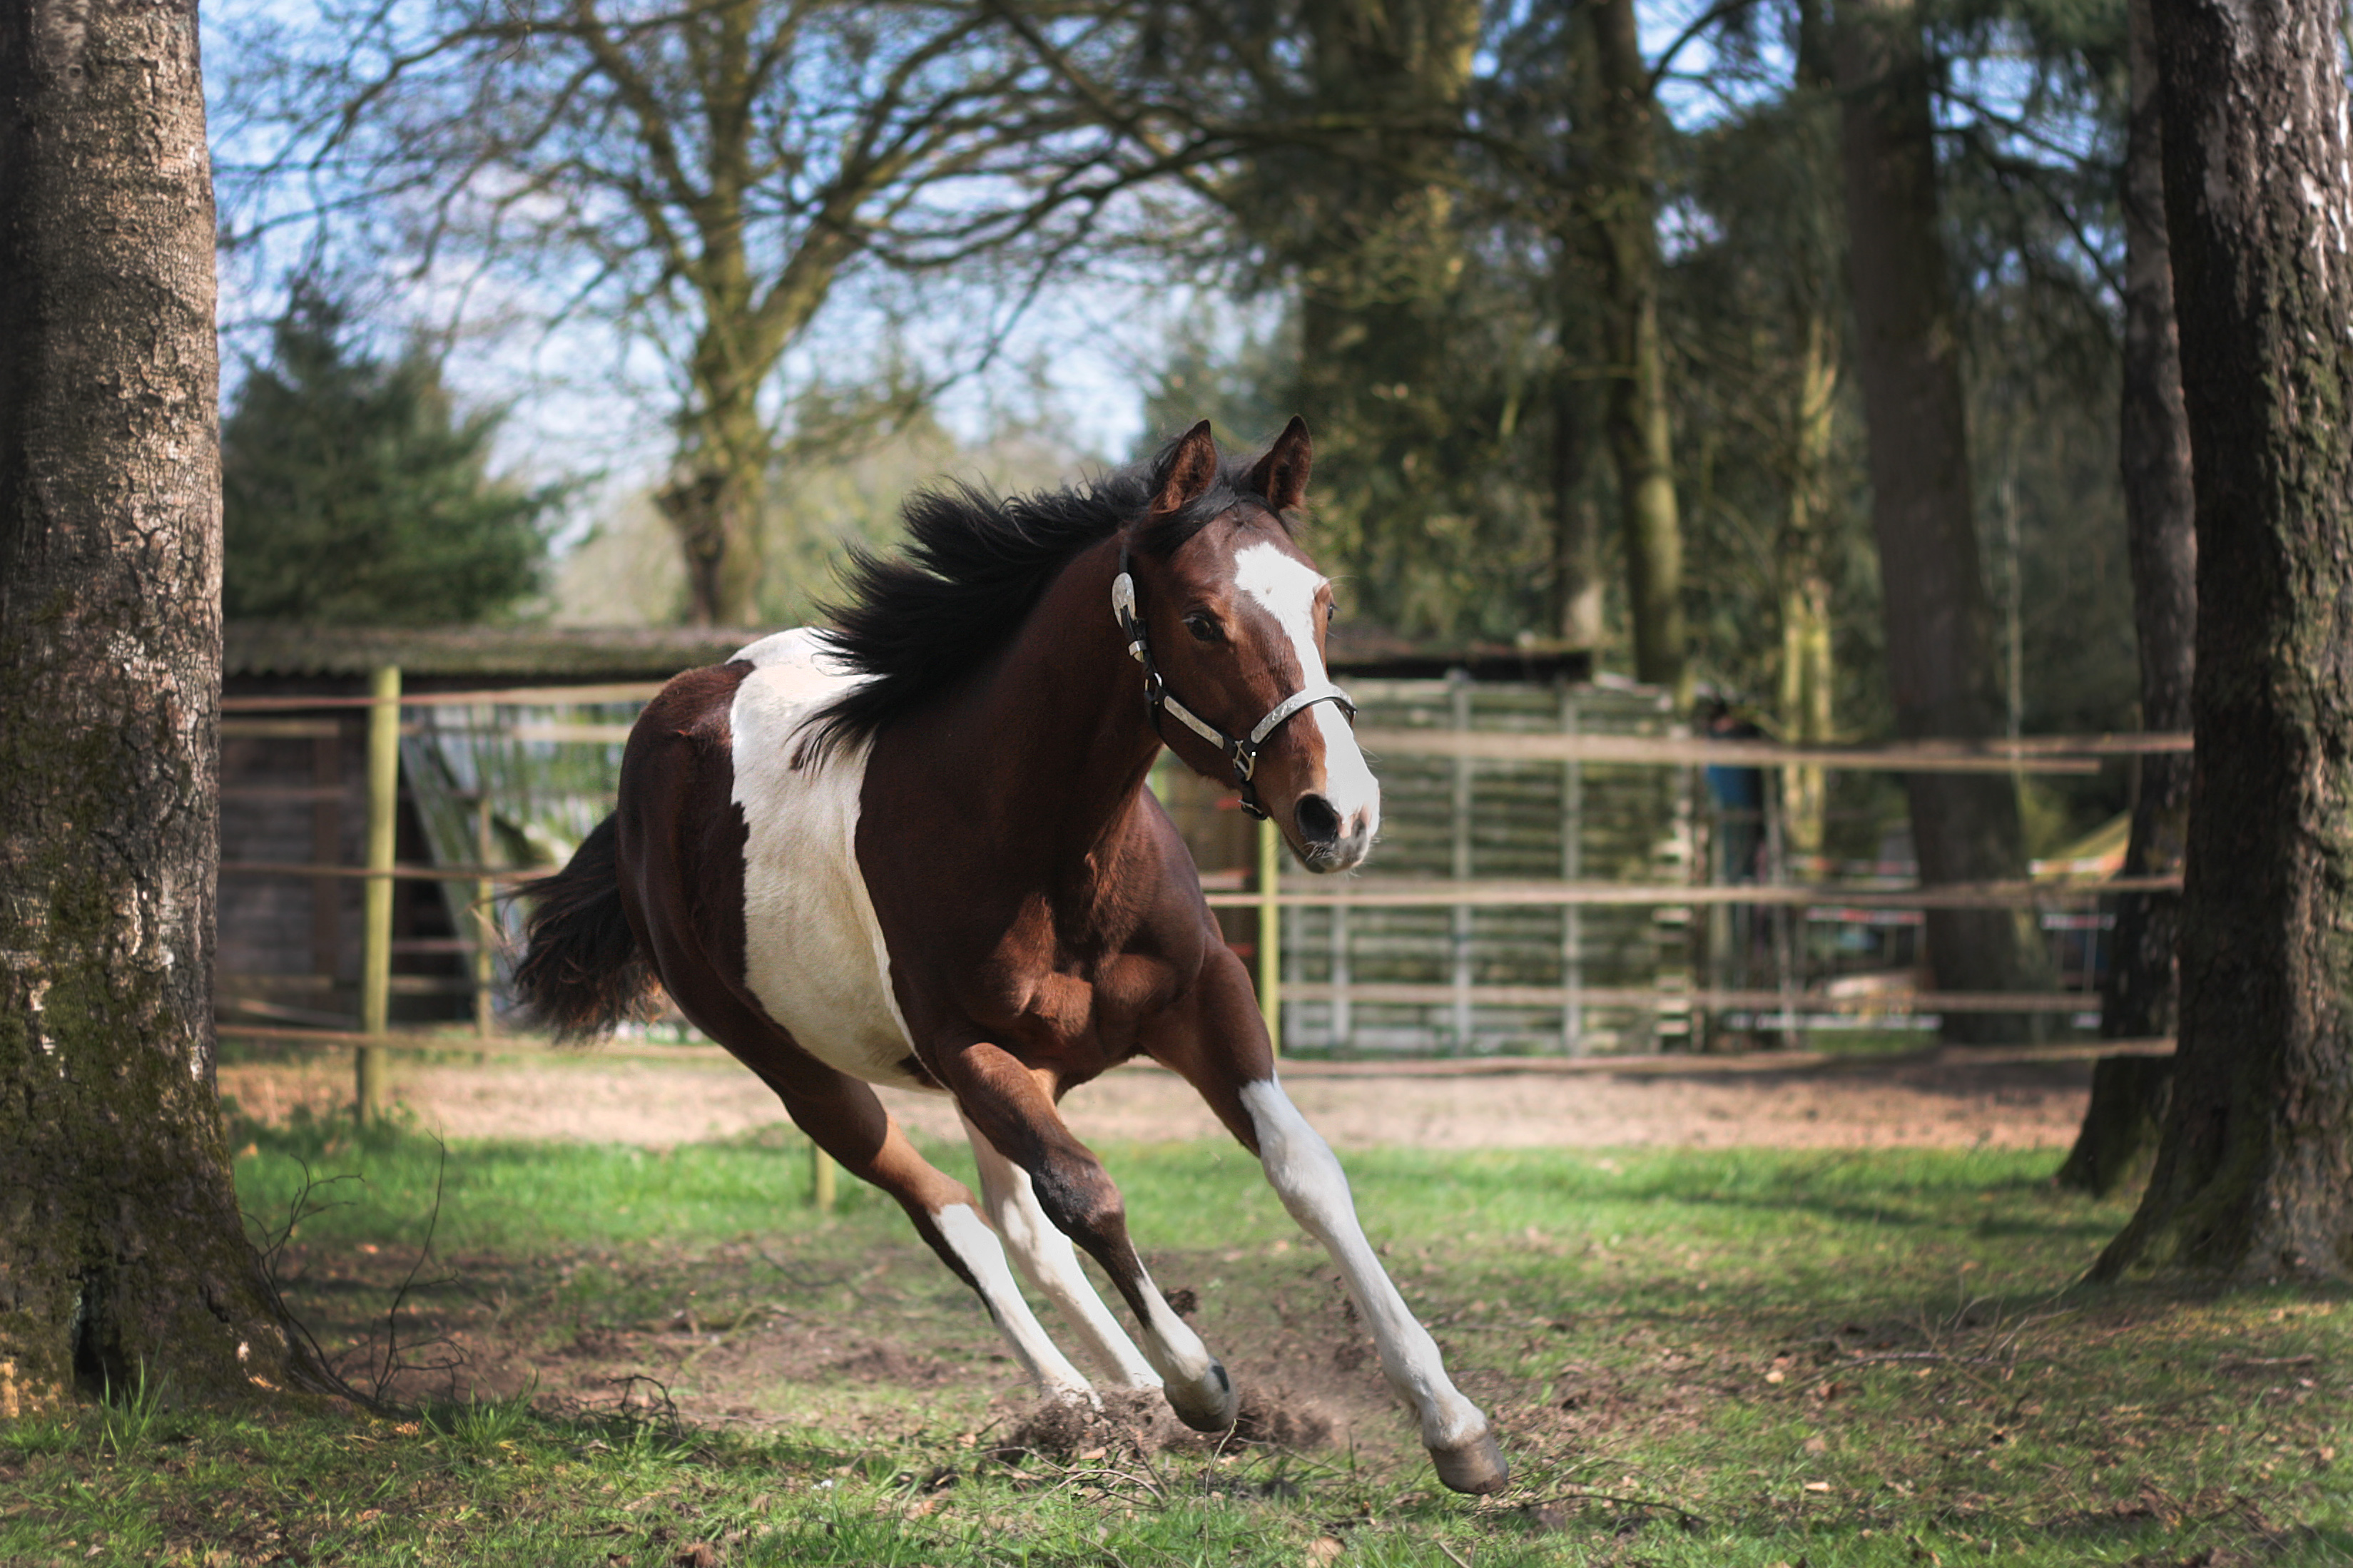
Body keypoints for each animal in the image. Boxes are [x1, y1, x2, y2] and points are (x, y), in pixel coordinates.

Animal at [512, 418, 1507, 1494]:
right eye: (1202, 621)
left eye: (1322, 601)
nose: (1341, 814)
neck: (1043, 845)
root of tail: (653, 746)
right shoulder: (966, 1052)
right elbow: (1089, 1196)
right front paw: (1200, 1382)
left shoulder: (1205, 998)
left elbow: (1304, 1171)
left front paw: (1453, 1425)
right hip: (807, 1074)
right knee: (959, 1219)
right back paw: (1083, 1399)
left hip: (1022, 1075)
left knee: (1020, 1225)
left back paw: (1127, 1398)